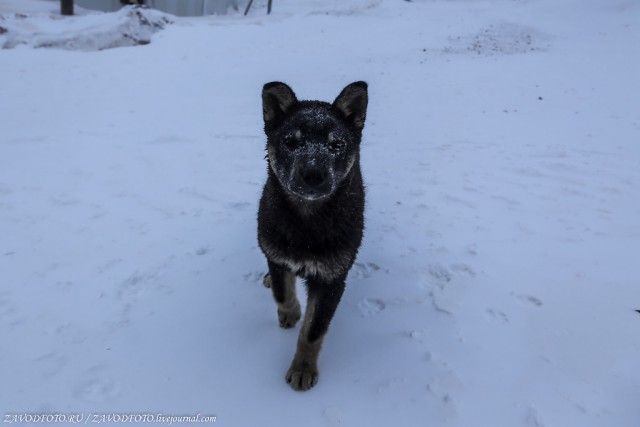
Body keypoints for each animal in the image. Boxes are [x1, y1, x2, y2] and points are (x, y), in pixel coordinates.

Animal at [255, 81, 364, 392]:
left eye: (336, 145)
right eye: (290, 142)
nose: (313, 175)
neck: (306, 224)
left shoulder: (332, 279)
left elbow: (314, 331)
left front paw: (303, 368)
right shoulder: (276, 252)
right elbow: (282, 292)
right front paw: (290, 312)